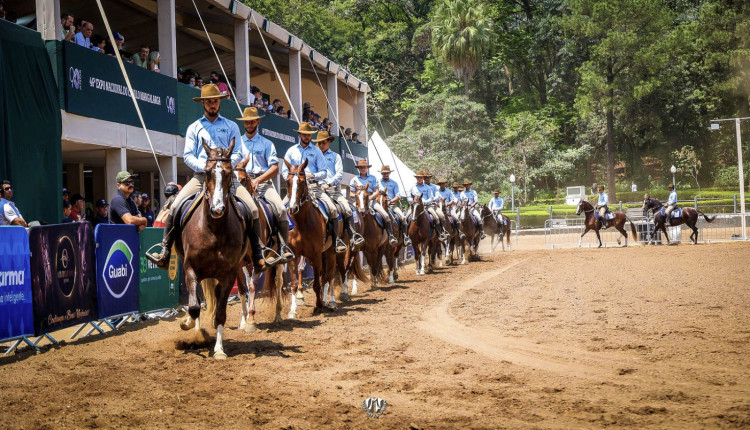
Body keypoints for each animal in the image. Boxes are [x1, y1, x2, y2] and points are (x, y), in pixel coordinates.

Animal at [176, 139, 247, 360]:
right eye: (207, 172)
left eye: (229, 172)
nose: (217, 209)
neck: (213, 229)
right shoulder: (190, 269)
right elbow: (194, 306)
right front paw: (187, 324)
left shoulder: (228, 275)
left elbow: (221, 314)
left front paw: (219, 349)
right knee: (197, 302)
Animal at [234, 158, 286, 330]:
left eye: (243, 179)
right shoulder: (238, 263)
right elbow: (242, 289)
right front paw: (243, 321)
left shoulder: (258, 259)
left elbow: (252, 286)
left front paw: (251, 320)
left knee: (278, 282)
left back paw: (278, 315)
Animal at [284, 160, 338, 318]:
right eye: (287, 181)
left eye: (302, 181)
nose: (293, 208)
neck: (302, 223)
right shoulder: (294, 255)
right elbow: (293, 284)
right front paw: (292, 311)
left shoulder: (316, 254)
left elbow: (317, 283)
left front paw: (319, 305)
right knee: (324, 276)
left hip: (330, 252)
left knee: (329, 276)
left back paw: (329, 301)